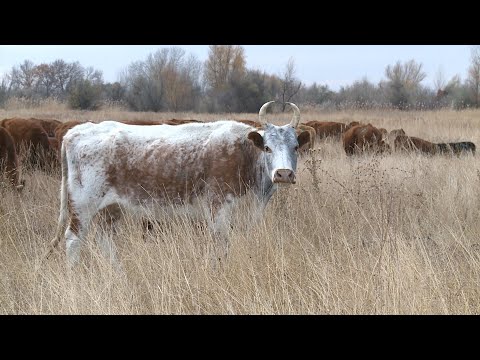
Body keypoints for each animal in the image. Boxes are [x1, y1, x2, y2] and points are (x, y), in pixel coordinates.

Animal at [47, 101, 310, 268]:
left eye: (296, 147)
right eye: (267, 147)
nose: (283, 174)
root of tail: (77, 131)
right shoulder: (218, 208)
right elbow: (221, 244)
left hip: (111, 208)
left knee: (105, 240)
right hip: (83, 206)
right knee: (73, 239)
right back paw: (74, 275)